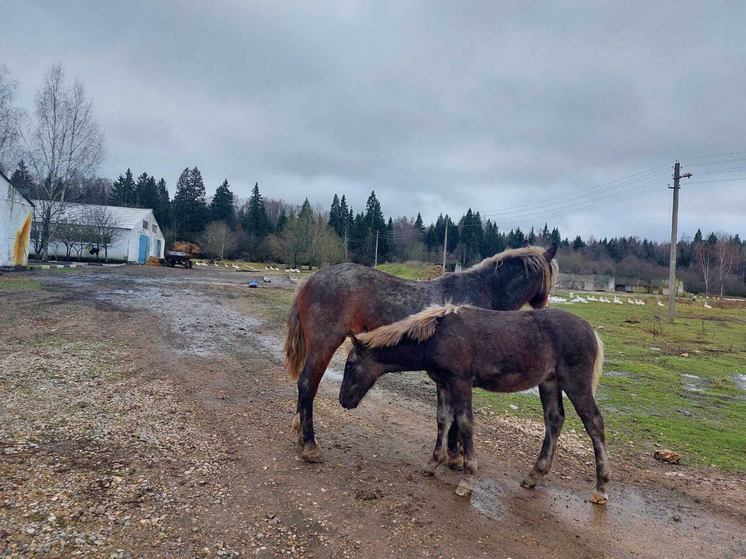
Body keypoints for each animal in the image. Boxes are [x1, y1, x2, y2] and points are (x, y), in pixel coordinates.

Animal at [282, 243, 556, 462]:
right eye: (548, 278)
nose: (545, 308)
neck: (482, 291)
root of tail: (310, 279)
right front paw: (455, 456)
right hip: (323, 345)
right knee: (307, 385)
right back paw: (310, 445)